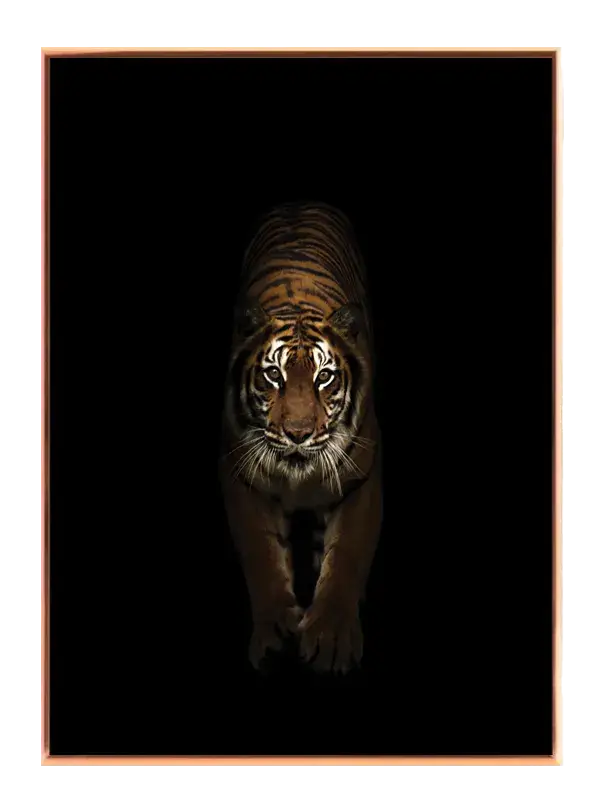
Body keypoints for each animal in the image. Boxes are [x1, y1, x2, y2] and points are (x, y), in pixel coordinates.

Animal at [219, 201, 382, 674]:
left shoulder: (361, 479)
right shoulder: (240, 475)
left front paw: (331, 639)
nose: (297, 433)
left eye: (324, 377)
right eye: (273, 375)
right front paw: (275, 633)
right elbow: (260, 553)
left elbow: (347, 554)